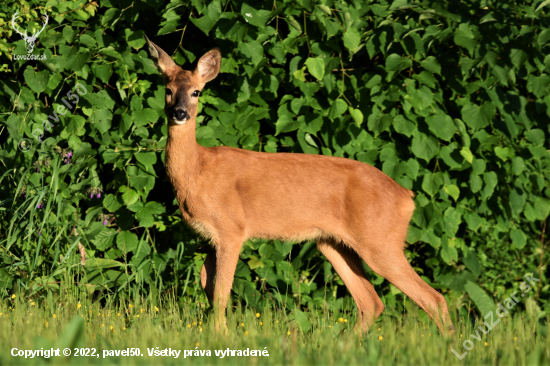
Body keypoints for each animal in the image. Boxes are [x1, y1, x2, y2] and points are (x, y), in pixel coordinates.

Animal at [146, 35, 458, 336]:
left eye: (197, 92)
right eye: (168, 89)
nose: (180, 113)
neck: (198, 171)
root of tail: (407, 196)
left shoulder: (231, 229)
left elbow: (221, 291)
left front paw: (220, 336)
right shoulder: (213, 237)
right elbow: (207, 285)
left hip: (381, 239)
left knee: (433, 298)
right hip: (332, 243)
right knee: (371, 301)